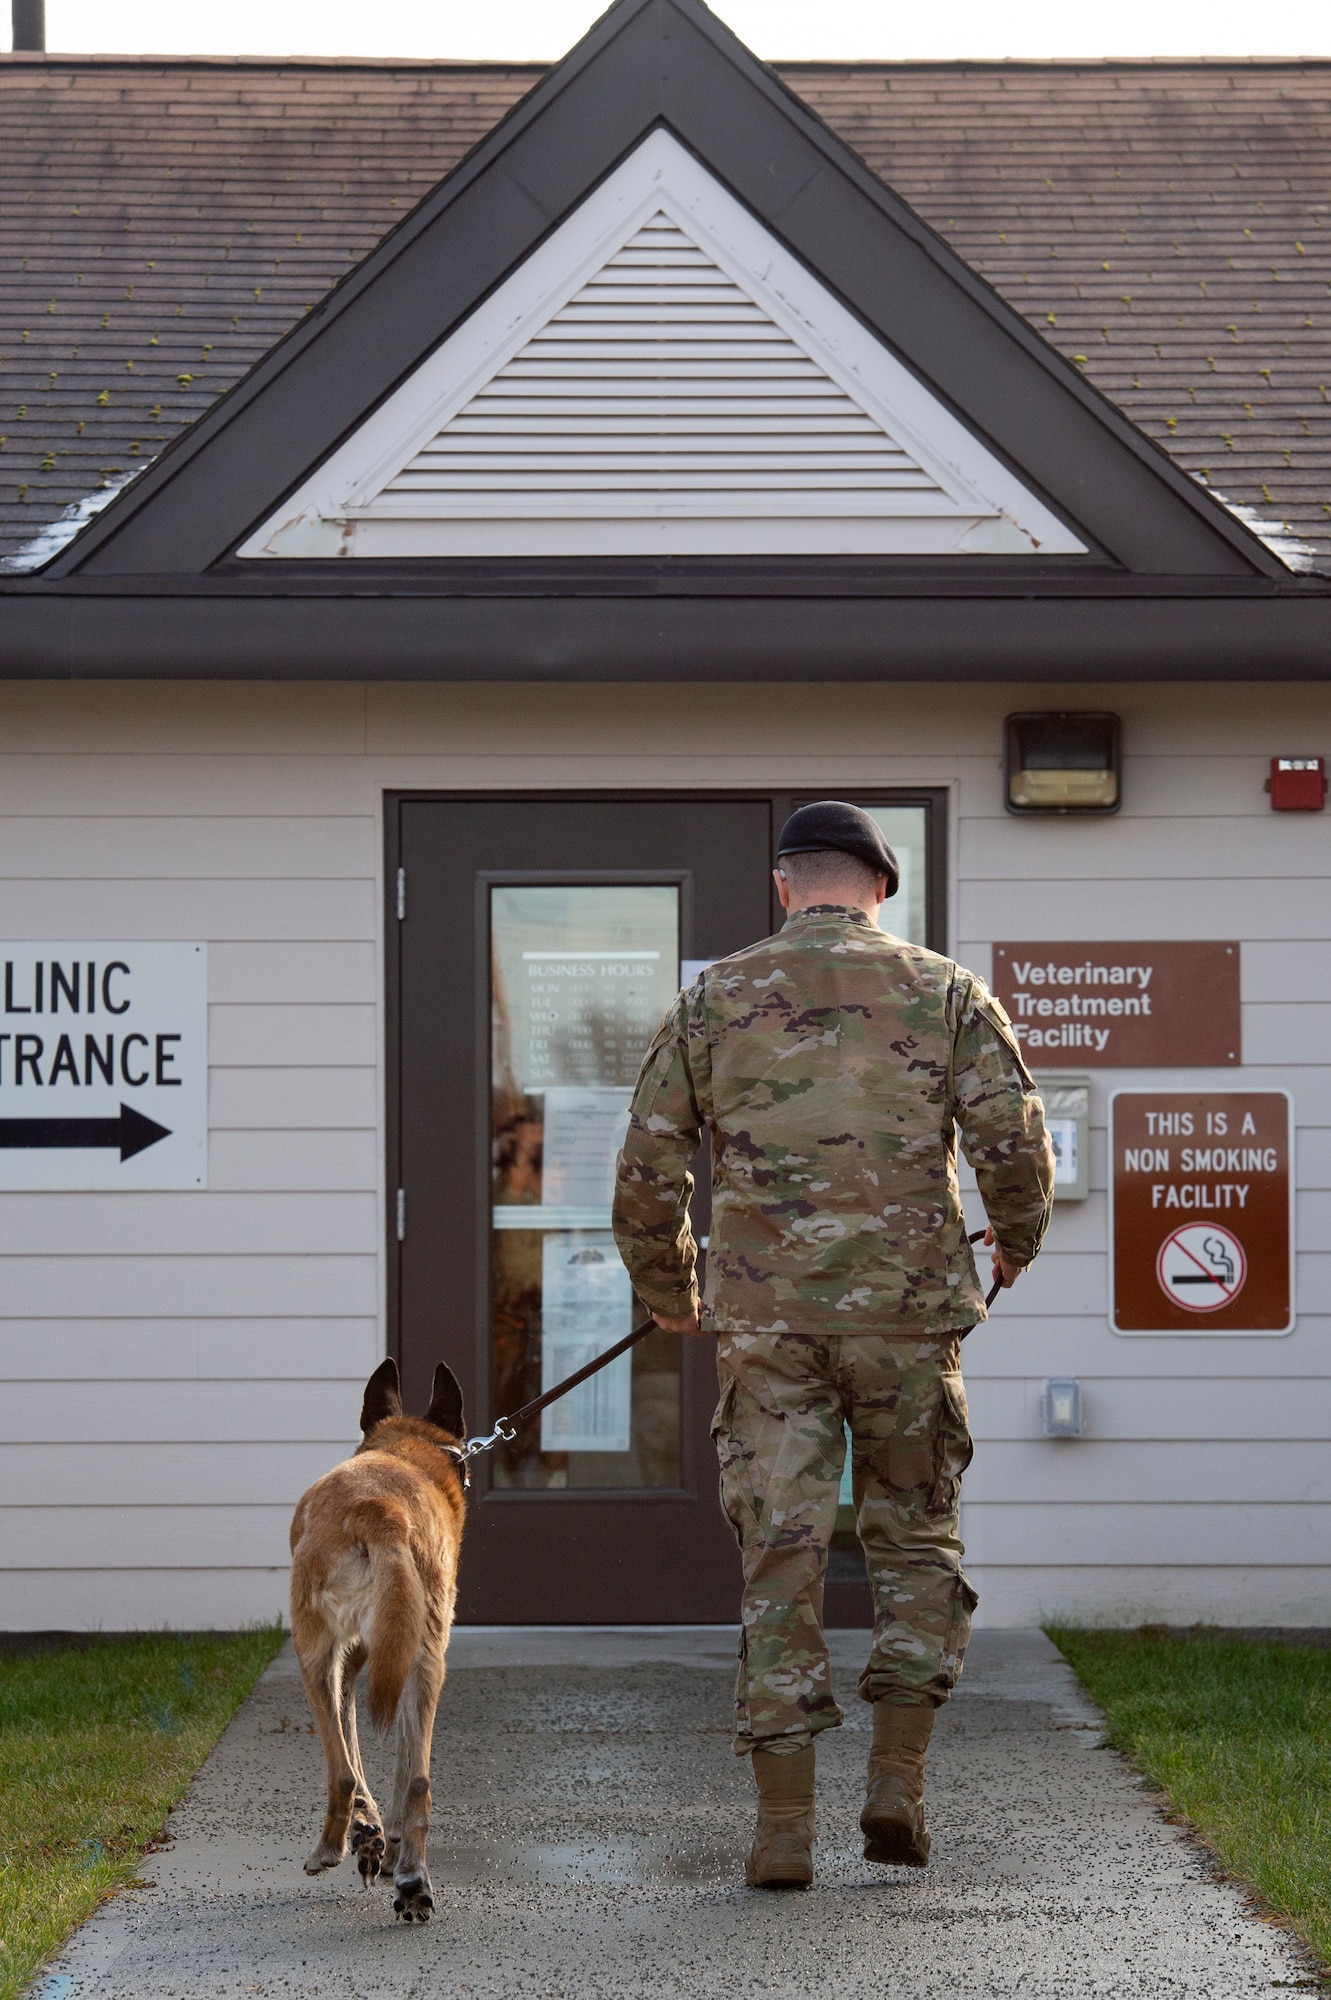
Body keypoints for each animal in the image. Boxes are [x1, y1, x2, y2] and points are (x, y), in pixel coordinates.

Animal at [289, 1355, 467, 1922]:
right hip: (425, 1657)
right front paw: (379, 1842)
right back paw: (412, 1880)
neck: (405, 1447)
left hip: (311, 1652)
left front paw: (364, 1834)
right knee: (417, 1779)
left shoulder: (344, 1656)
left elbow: (349, 1748)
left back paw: (331, 1847)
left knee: (341, 1771)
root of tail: (378, 1510)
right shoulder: (382, 1651)